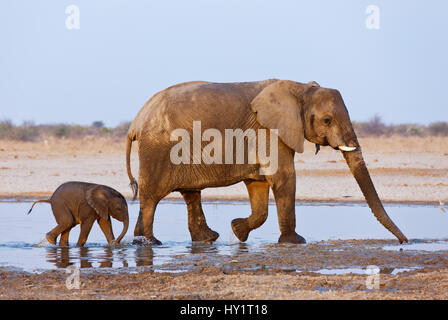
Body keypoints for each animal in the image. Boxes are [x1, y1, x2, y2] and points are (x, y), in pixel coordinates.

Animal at [124, 80, 408, 245]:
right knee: (151, 197)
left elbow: (258, 185)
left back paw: (206, 239)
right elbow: (284, 177)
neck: (300, 88)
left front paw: (238, 230)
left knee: (190, 193)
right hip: (157, 149)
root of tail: (135, 122)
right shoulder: (269, 130)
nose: (404, 242)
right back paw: (151, 243)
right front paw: (295, 242)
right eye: (327, 120)